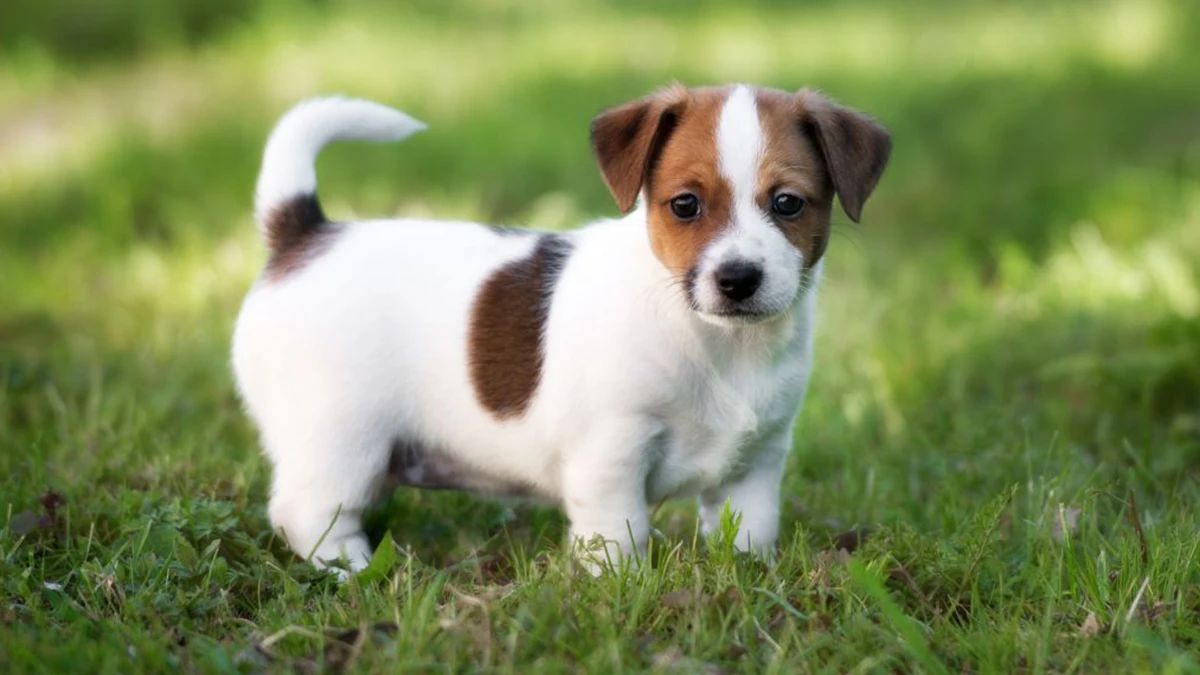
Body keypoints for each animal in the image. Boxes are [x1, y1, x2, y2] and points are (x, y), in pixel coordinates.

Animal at [231, 79, 892, 571]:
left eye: (788, 203)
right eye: (685, 205)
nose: (738, 278)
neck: (717, 343)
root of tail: (305, 233)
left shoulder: (757, 463)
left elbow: (750, 534)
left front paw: (749, 579)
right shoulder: (612, 453)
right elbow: (620, 537)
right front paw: (621, 591)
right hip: (340, 439)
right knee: (306, 513)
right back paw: (351, 568)